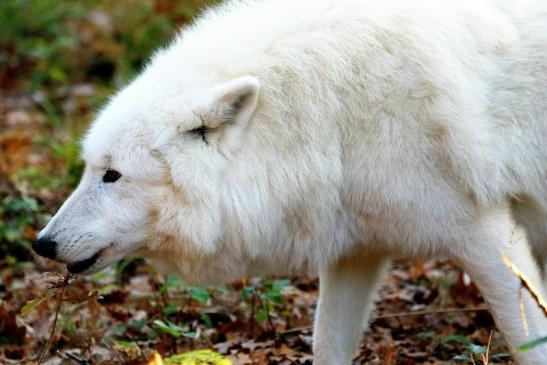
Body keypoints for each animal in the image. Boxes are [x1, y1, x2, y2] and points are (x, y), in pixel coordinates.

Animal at [34, 0, 547, 362]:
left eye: (112, 175)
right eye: (89, 168)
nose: (42, 244)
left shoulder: (487, 236)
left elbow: (529, 342)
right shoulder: (356, 249)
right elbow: (328, 346)